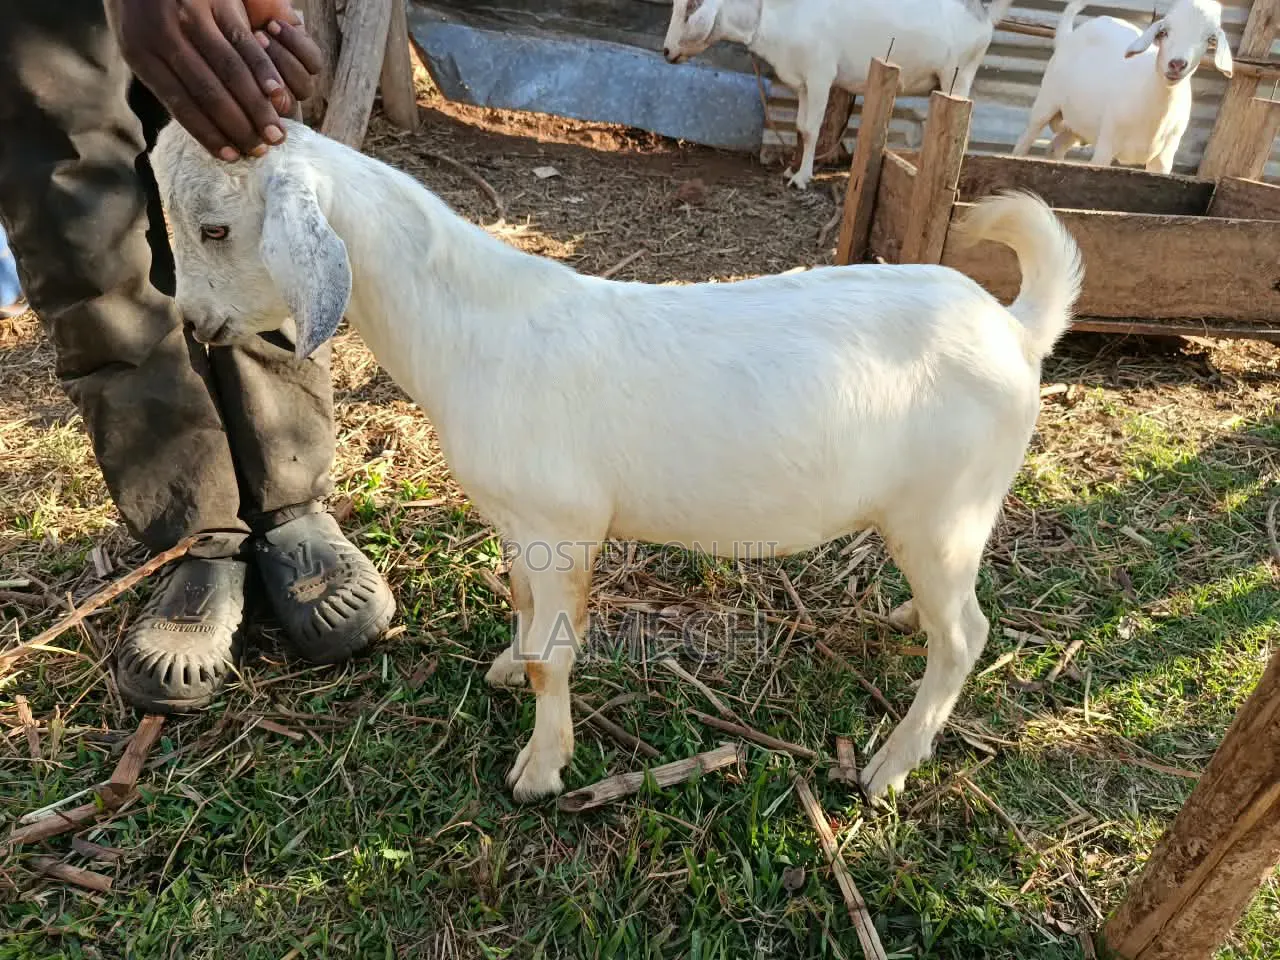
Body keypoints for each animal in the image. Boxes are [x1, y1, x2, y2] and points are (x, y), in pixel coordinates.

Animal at [151, 119, 1083, 802]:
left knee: (967, 635)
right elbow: (525, 609)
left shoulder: (560, 524)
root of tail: (1015, 329)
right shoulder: (519, 522)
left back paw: (890, 765)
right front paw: (504, 668)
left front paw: (539, 770)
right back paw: (902, 619)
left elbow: (552, 654)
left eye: (214, 228)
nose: (193, 324)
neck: (469, 327)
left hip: (947, 506)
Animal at [662, 0, 1016, 189]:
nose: (666, 51)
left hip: (959, 74)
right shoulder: (803, 82)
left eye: (691, 5)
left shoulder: (821, 74)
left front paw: (802, 178)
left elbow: (812, 129)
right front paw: (792, 169)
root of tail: (983, 13)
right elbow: (800, 126)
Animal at [1011, 0, 1233, 173]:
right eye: (1164, 32)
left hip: (1077, 123)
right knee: (1025, 141)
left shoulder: (1164, 158)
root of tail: (1068, 36)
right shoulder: (1106, 146)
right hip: (1047, 101)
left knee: (1056, 146)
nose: (1177, 64)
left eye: (1210, 39)